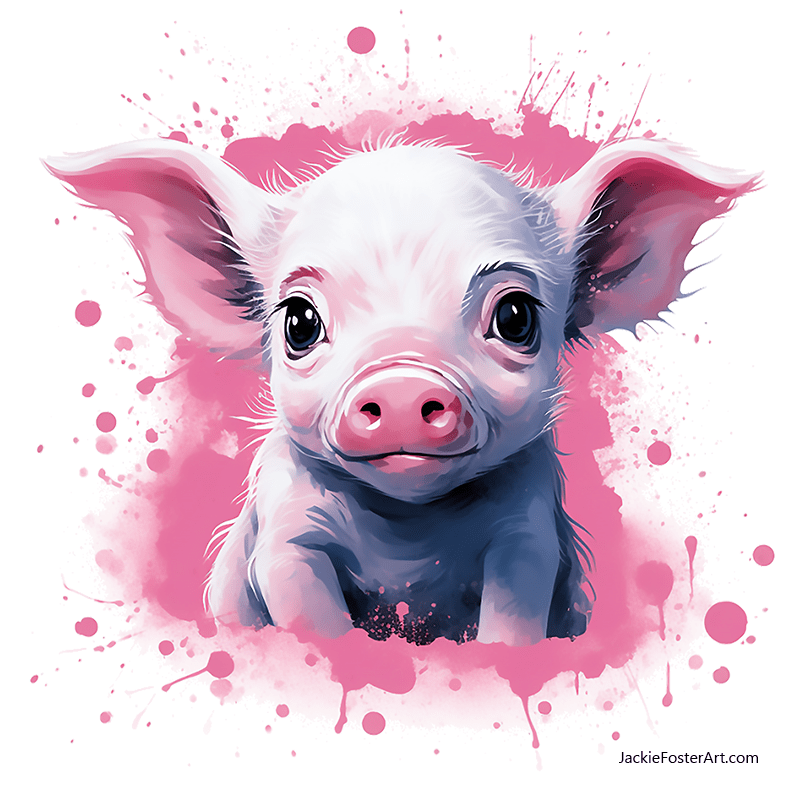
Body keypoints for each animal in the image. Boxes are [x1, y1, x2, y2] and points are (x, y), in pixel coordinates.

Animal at [46, 136, 755, 646]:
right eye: (298, 321)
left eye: (516, 316)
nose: (403, 383)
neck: (407, 537)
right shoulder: (284, 534)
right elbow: (312, 615)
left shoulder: (527, 529)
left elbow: (513, 619)